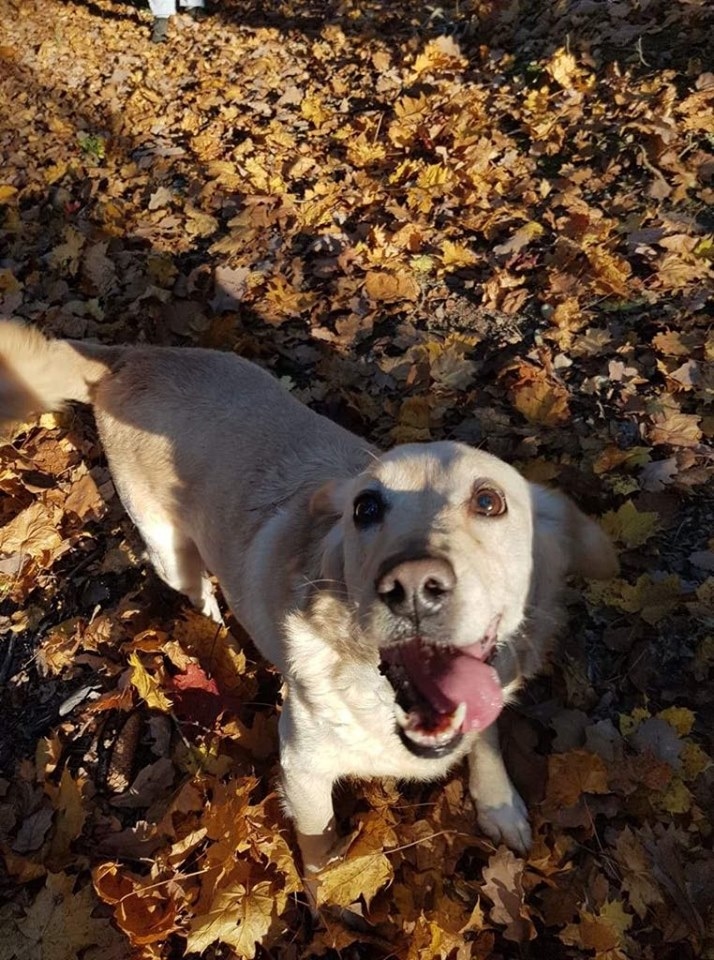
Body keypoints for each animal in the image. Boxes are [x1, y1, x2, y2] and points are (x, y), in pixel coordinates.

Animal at [0, 320, 616, 876]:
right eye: (365, 507)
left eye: (489, 501)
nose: (413, 586)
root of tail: (130, 356)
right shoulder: (302, 763)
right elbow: (319, 842)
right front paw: (330, 898)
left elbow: (484, 736)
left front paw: (500, 806)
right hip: (168, 548)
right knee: (196, 587)